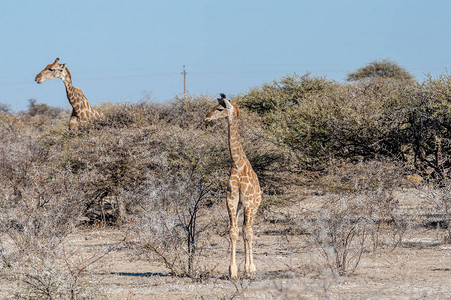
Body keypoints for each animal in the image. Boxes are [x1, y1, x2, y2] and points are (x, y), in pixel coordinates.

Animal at [205, 94, 262, 278]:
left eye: (219, 109)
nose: (207, 117)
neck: (237, 163)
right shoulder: (231, 200)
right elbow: (233, 232)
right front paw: (233, 270)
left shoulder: (248, 202)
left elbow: (247, 233)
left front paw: (248, 269)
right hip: (240, 206)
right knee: (244, 230)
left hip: (254, 206)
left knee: (249, 231)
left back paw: (251, 268)